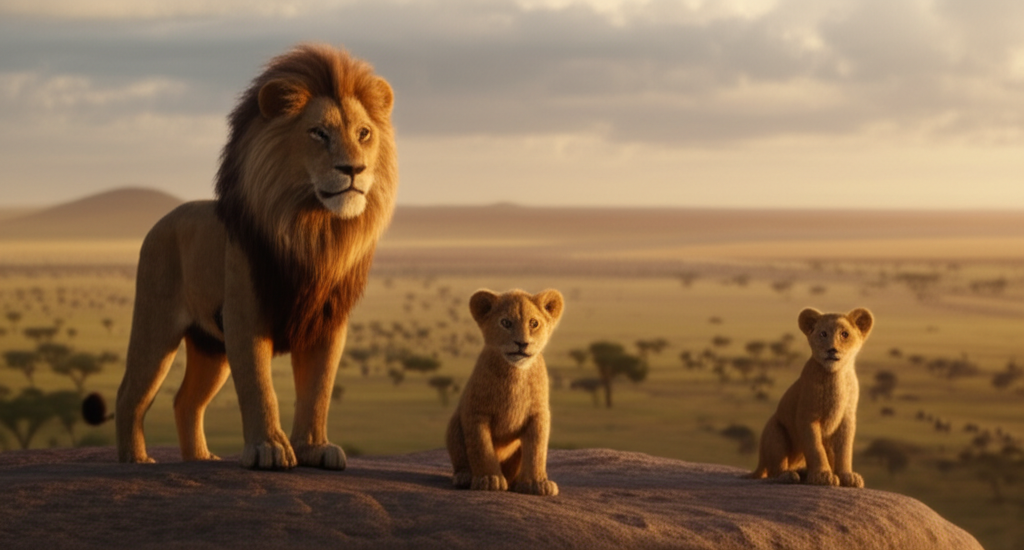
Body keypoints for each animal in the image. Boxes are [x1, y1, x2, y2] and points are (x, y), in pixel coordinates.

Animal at [115, 44, 397, 470]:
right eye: (319, 133)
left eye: (364, 134)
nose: (354, 169)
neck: (314, 231)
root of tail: (164, 219)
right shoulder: (245, 315)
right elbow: (259, 386)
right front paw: (269, 448)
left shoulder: (328, 324)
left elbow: (319, 389)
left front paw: (314, 448)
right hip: (156, 322)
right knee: (131, 391)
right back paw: (135, 460)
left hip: (210, 346)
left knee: (185, 401)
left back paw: (201, 458)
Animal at [446, 289, 564, 496]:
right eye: (506, 323)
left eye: (534, 323)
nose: (522, 343)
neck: (515, 373)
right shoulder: (476, 412)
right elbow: (481, 447)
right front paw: (489, 479)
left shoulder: (539, 414)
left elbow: (537, 449)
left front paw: (537, 483)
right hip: (453, 427)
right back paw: (464, 477)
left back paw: (516, 482)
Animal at [745, 307, 874, 487]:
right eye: (823, 334)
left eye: (845, 334)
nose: (832, 349)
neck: (837, 375)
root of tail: (760, 462)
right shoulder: (807, 417)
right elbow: (815, 448)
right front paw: (823, 475)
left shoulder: (847, 420)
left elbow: (844, 450)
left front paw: (848, 476)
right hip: (774, 431)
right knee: (773, 470)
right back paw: (788, 475)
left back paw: (803, 473)